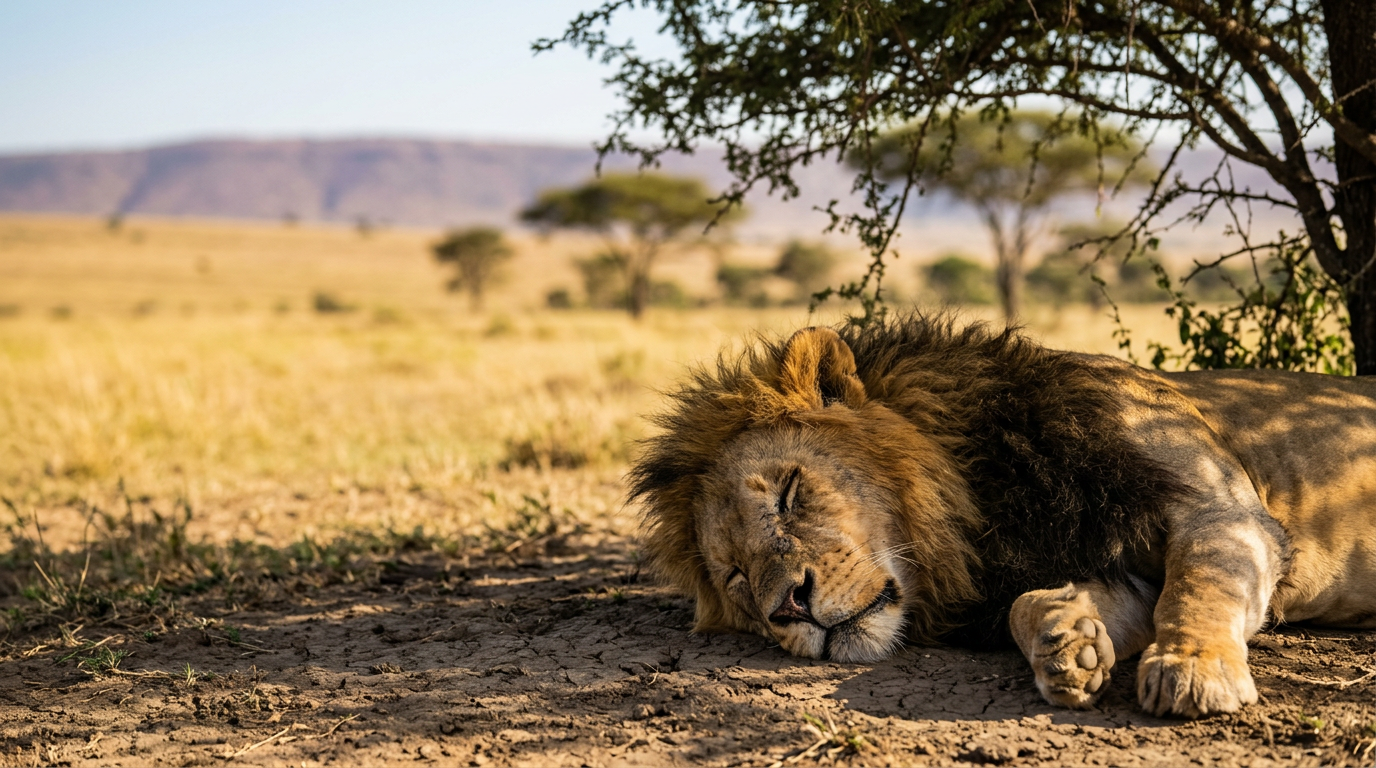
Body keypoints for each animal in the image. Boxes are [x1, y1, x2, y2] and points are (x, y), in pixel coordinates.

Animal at [628, 316, 1376, 718]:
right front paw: (1068, 640)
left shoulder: (1219, 509)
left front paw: (1192, 669)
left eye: (788, 493)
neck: (980, 508)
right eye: (736, 577)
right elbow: (1034, 603)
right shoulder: (1100, 560)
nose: (788, 606)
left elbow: (1199, 586)